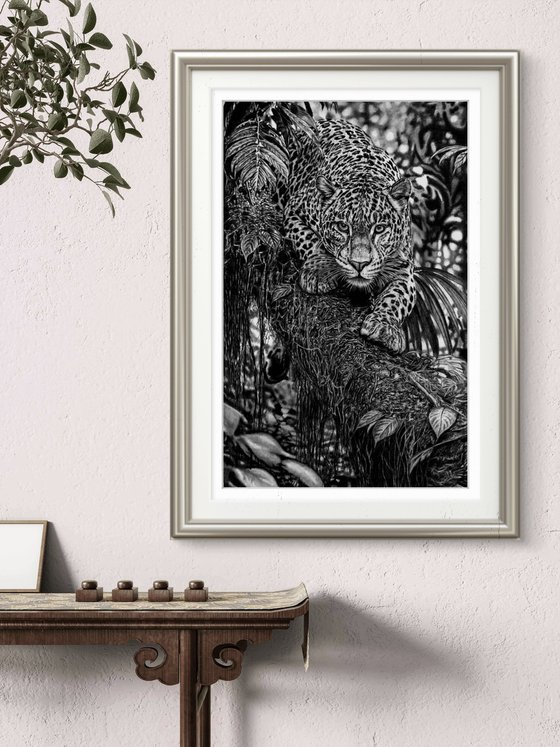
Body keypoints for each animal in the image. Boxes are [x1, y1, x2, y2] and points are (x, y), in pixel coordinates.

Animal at [284, 118, 416, 354]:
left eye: (380, 229)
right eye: (342, 227)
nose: (359, 264)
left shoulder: (404, 268)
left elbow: (398, 298)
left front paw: (385, 326)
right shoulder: (294, 209)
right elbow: (311, 241)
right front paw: (319, 271)